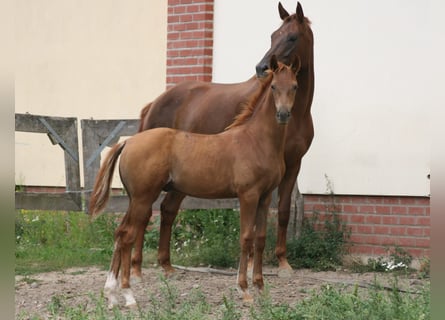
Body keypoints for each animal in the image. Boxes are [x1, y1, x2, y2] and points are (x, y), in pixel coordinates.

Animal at [89, 58, 298, 308]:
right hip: (142, 198)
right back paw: (129, 296)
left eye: (295, 86)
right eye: (274, 86)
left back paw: (111, 294)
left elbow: (260, 238)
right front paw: (244, 289)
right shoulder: (248, 196)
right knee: (128, 235)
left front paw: (260, 287)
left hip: (134, 200)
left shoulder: (265, 197)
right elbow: (246, 238)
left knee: (120, 234)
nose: (283, 114)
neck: (256, 140)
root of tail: (128, 142)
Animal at [134, 1, 312, 278]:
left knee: (167, 209)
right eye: (273, 35)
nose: (262, 68)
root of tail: (153, 104)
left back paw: (165, 263)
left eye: (292, 37)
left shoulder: (294, 163)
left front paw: (283, 262)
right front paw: (251, 265)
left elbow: (283, 211)